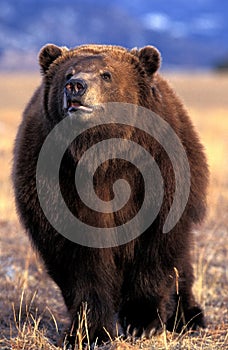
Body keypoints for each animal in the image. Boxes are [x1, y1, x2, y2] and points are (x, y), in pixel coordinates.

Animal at [12, 43, 208, 344]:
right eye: (68, 72)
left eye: (106, 74)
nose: (76, 86)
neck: (101, 154)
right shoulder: (55, 181)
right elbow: (79, 261)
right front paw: (87, 331)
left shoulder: (159, 172)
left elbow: (155, 249)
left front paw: (142, 322)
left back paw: (189, 316)